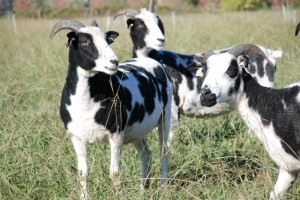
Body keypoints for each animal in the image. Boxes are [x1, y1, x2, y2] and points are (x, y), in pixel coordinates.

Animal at [50, 19, 172, 199]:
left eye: (107, 40)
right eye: (85, 42)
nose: (114, 62)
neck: (86, 105)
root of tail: (148, 60)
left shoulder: (116, 134)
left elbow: (114, 172)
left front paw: (119, 194)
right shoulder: (76, 137)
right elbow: (82, 173)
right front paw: (84, 196)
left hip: (166, 115)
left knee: (164, 151)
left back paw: (163, 187)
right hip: (135, 131)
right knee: (146, 154)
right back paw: (142, 188)